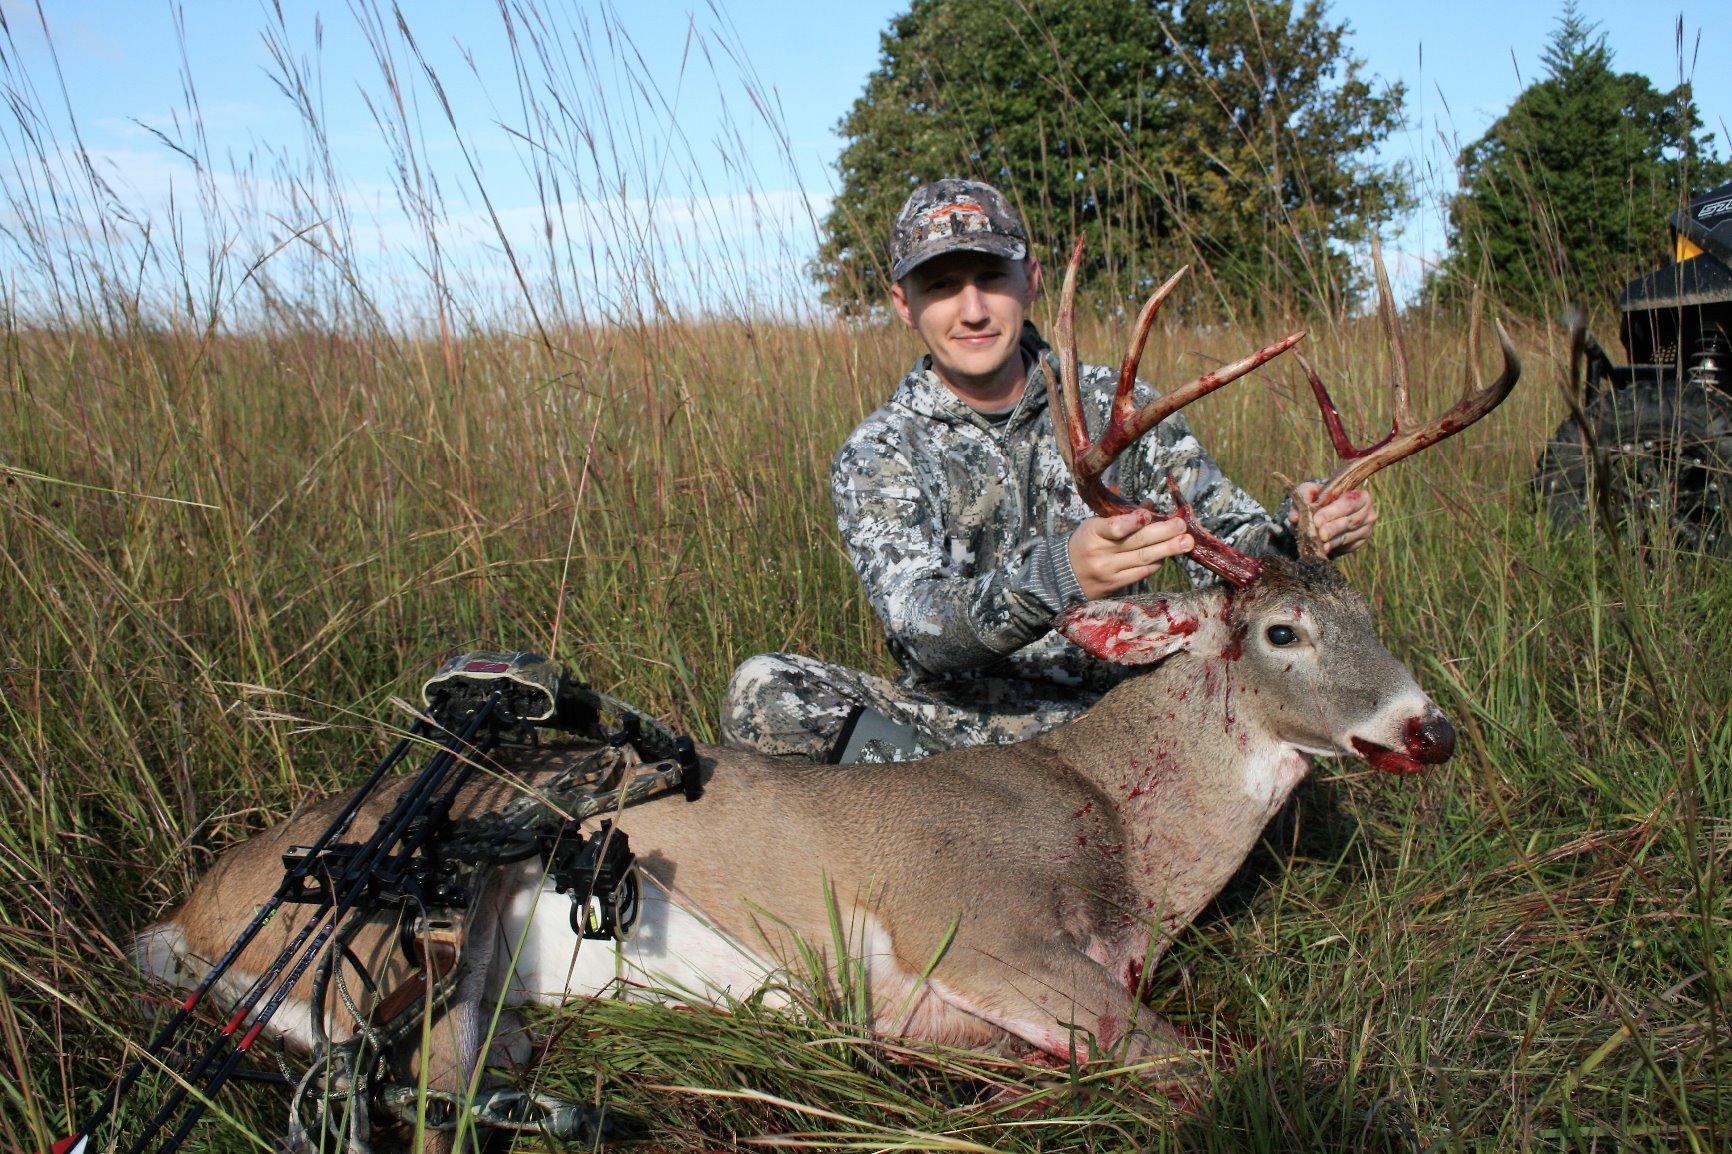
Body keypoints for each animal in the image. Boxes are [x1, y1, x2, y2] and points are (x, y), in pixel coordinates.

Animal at [129, 239, 1519, 1147]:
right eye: (1282, 628)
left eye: (1370, 615)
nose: (1429, 727)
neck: (1122, 839)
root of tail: (187, 911)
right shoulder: (971, 926)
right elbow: (1203, 1071)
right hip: (391, 934)